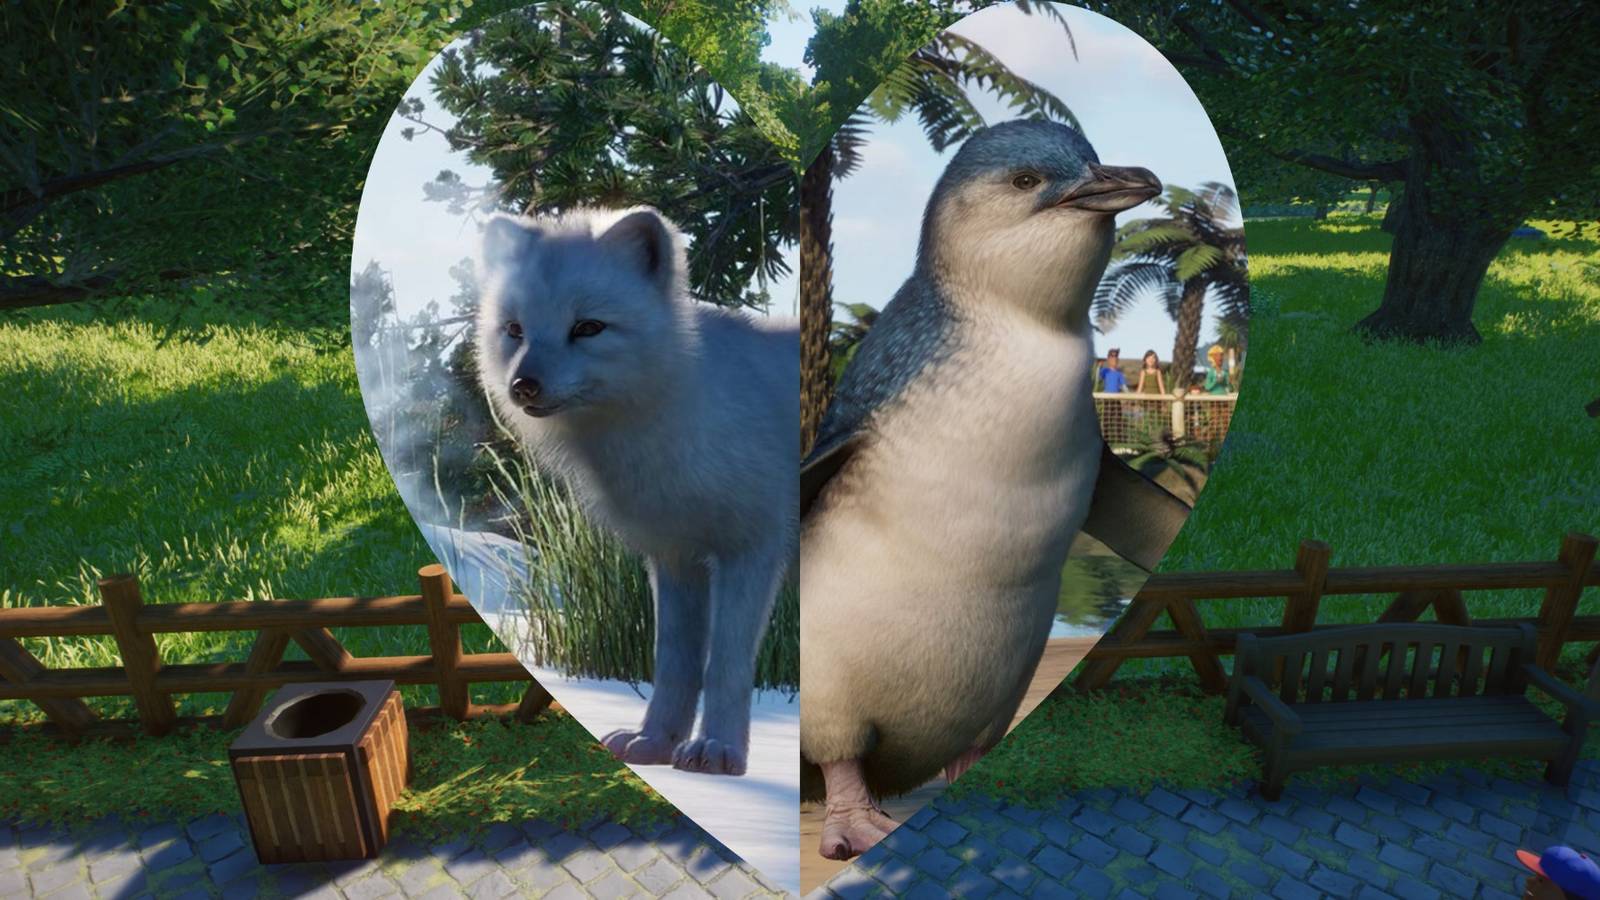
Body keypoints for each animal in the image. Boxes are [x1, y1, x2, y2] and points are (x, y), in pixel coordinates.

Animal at [474, 205, 798, 776]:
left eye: (588, 327)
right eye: (515, 330)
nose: (522, 387)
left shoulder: (750, 552)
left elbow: (726, 665)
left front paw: (720, 752)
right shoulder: (675, 560)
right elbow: (674, 662)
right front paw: (657, 743)